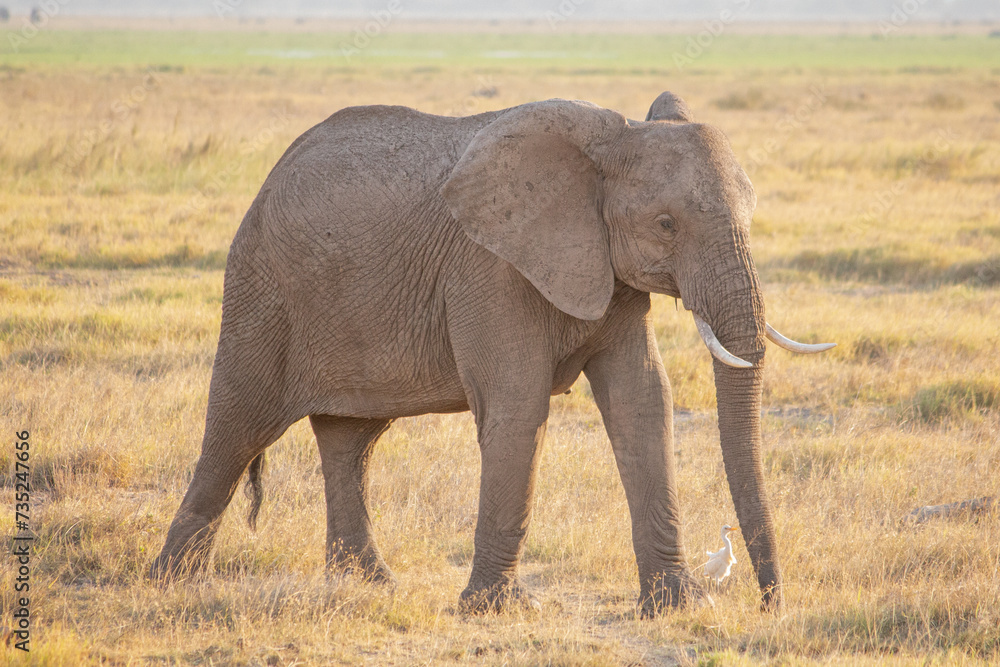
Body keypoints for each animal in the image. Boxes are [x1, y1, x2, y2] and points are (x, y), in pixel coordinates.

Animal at [151, 90, 834, 616]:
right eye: (666, 225)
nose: (769, 604)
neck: (608, 144)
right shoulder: (491, 268)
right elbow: (517, 409)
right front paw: (497, 610)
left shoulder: (608, 274)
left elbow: (643, 401)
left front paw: (676, 604)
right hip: (261, 288)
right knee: (237, 428)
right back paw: (169, 584)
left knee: (351, 439)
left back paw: (369, 585)